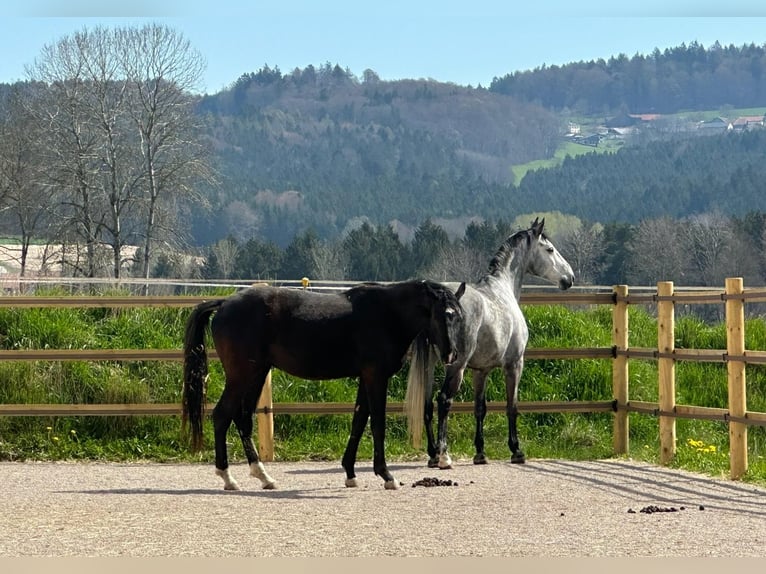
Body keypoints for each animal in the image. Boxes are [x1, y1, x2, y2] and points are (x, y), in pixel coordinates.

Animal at [182, 279, 466, 490]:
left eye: (459, 317)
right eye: (440, 315)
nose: (451, 355)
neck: (387, 314)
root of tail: (225, 303)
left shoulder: (366, 377)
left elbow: (358, 422)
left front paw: (350, 473)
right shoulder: (376, 376)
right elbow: (377, 424)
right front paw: (387, 476)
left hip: (257, 373)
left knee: (242, 419)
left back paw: (262, 475)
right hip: (241, 375)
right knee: (222, 415)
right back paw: (228, 477)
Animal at [404, 217, 574, 469]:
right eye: (550, 249)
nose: (569, 278)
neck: (502, 289)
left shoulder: (480, 371)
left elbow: (480, 409)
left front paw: (480, 453)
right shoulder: (514, 364)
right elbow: (512, 406)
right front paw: (516, 450)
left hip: (430, 363)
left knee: (427, 404)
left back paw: (433, 454)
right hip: (456, 365)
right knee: (443, 401)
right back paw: (444, 455)